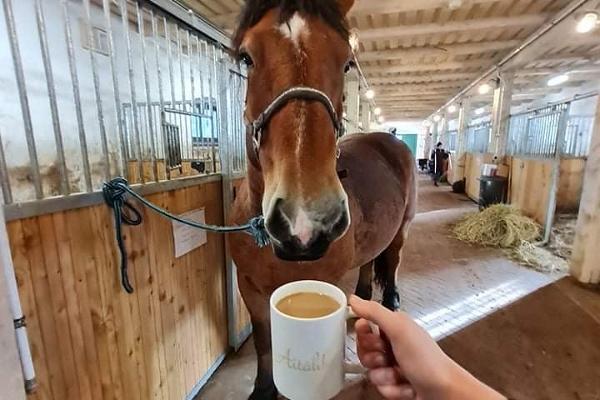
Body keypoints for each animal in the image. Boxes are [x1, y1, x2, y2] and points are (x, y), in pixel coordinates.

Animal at [227, 1, 414, 398]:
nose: (305, 221)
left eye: (346, 63)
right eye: (247, 57)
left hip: (403, 228)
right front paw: (264, 389)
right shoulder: (250, 289)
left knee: (392, 261)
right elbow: (263, 343)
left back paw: (390, 301)